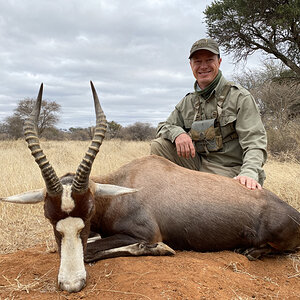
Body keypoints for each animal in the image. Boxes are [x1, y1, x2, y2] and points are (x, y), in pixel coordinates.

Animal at [0, 82, 300, 292]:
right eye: (49, 218)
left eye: (88, 213)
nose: (71, 284)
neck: (125, 183)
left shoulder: (144, 232)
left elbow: (92, 250)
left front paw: (159, 249)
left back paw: (249, 251)